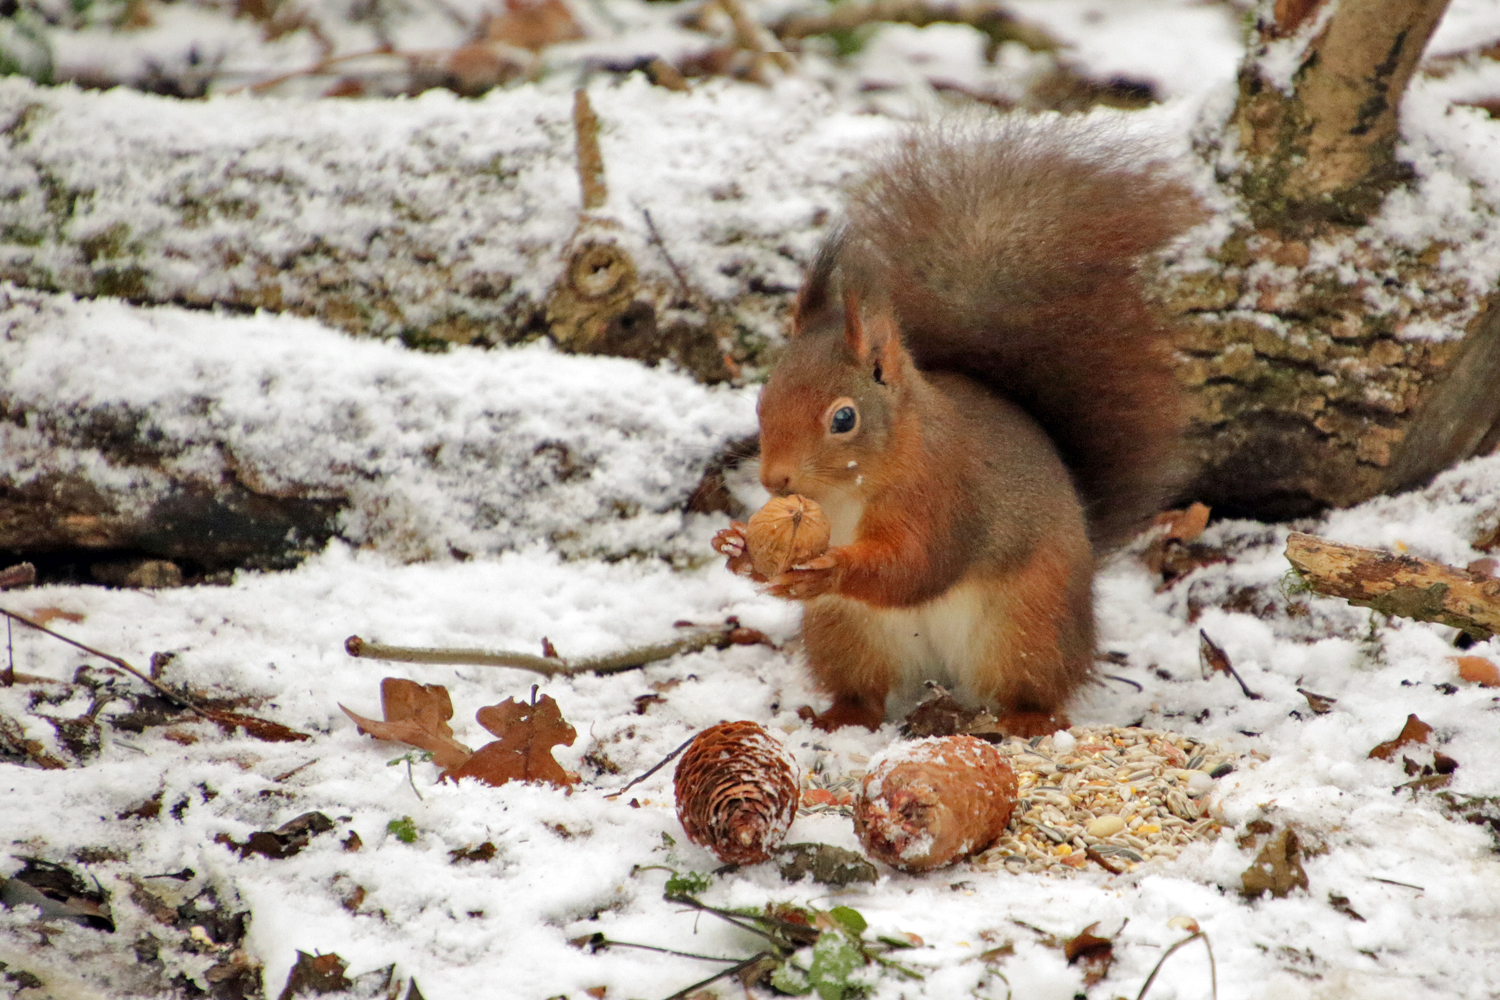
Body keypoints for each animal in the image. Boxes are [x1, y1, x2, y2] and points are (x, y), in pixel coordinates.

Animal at [708, 122, 1200, 734]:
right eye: (762, 398)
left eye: (844, 418)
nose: (775, 481)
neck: (850, 490)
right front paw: (738, 548)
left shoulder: (944, 497)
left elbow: (918, 566)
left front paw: (832, 568)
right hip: (844, 633)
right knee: (865, 690)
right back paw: (839, 716)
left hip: (1026, 626)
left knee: (1034, 685)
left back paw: (1027, 720)